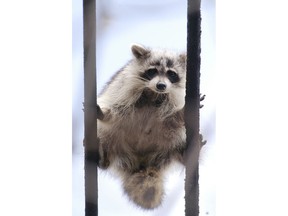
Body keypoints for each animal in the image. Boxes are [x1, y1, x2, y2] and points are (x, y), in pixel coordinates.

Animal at [97, 43, 205, 209]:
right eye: (152, 71)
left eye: (171, 74)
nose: (161, 85)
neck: (154, 94)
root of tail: (142, 164)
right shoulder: (123, 91)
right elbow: (114, 111)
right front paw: (104, 113)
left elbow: (173, 121)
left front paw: (182, 113)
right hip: (114, 140)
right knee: (105, 134)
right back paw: (104, 158)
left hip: (165, 147)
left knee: (175, 143)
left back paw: (186, 155)